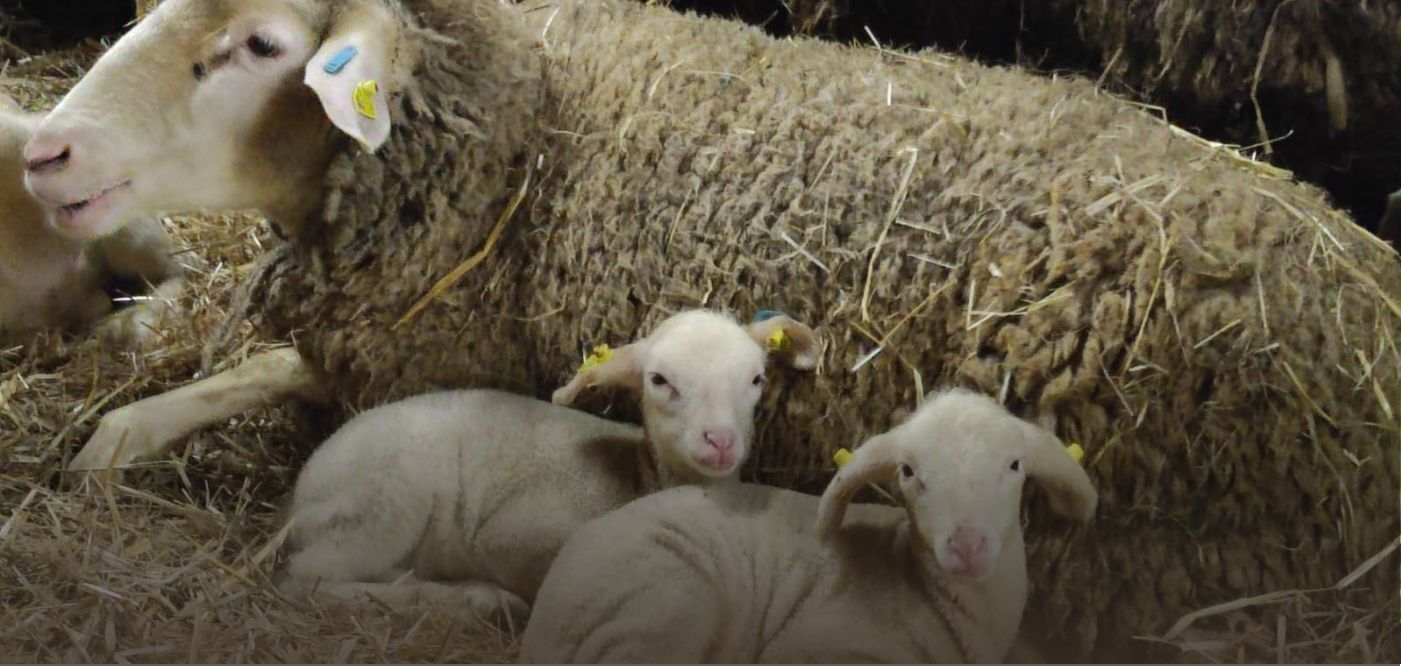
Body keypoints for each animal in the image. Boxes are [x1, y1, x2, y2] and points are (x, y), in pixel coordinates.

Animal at [274, 309, 818, 622]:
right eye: (659, 380)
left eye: (756, 379)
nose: (721, 441)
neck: (640, 479)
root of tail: (300, 493)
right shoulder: (513, 535)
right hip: (383, 502)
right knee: (308, 578)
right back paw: (467, 600)